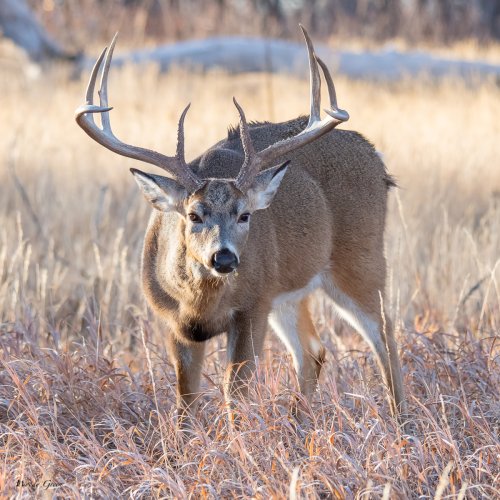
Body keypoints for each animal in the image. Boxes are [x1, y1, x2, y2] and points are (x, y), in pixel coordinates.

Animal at [76, 26, 408, 426]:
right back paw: (301, 422)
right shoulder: (174, 322)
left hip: (359, 259)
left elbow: (235, 392)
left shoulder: (252, 306)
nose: (224, 258)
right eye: (194, 214)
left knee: (385, 337)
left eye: (245, 214)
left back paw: (402, 423)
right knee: (313, 350)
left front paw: (236, 441)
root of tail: (377, 159)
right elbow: (185, 401)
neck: (200, 306)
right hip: (288, 290)